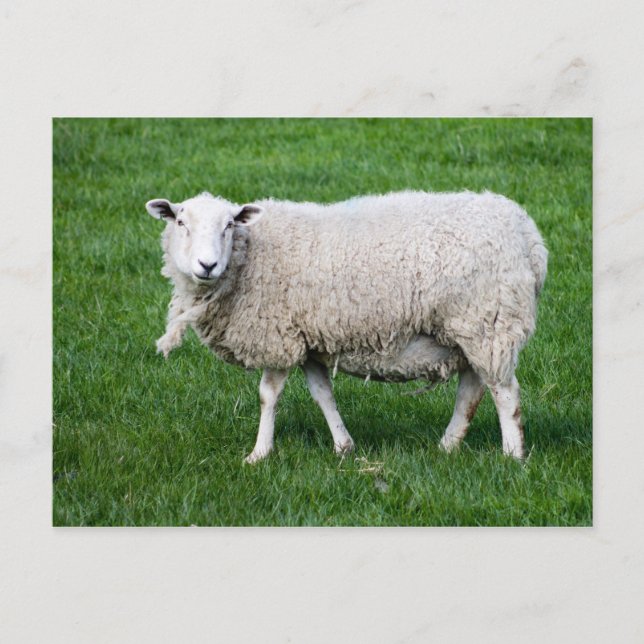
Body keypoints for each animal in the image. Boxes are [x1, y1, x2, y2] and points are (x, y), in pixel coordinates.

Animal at [146, 190, 547, 464]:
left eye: (229, 225)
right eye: (180, 222)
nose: (207, 265)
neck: (252, 255)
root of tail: (528, 235)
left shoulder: (277, 336)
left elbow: (267, 396)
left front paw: (258, 454)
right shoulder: (308, 341)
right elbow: (323, 394)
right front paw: (343, 446)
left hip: (488, 324)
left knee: (505, 394)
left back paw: (512, 455)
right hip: (474, 332)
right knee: (472, 391)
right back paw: (448, 445)